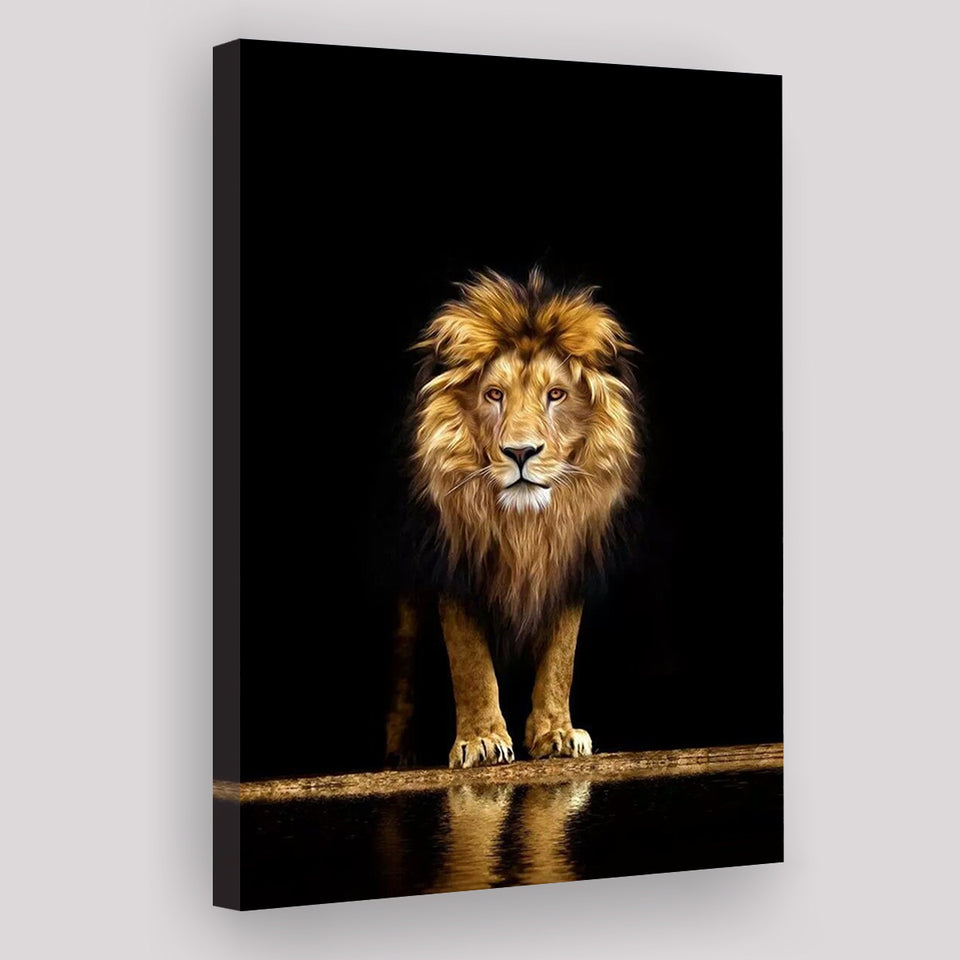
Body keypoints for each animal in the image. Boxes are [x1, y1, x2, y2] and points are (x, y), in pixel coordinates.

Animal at [385, 268, 642, 769]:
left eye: (556, 395)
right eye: (494, 395)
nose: (521, 452)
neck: (524, 527)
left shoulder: (568, 564)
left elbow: (561, 657)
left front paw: (556, 733)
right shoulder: (455, 567)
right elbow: (470, 662)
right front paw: (482, 739)